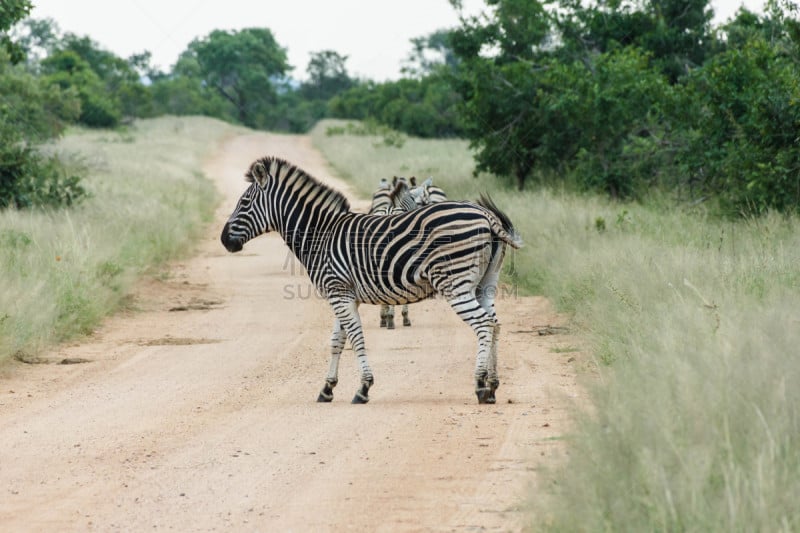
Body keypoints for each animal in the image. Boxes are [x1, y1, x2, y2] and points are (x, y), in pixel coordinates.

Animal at [219, 157, 520, 404]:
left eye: (244, 203)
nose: (223, 240)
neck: (321, 235)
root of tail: (485, 215)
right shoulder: (342, 294)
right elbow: (337, 340)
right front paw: (327, 388)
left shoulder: (339, 292)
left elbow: (355, 337)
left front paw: (363, 388)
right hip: (484, 284)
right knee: (495, 324)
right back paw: (493, 386)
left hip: (455, 284)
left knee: (483, 324)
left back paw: (480, 385)